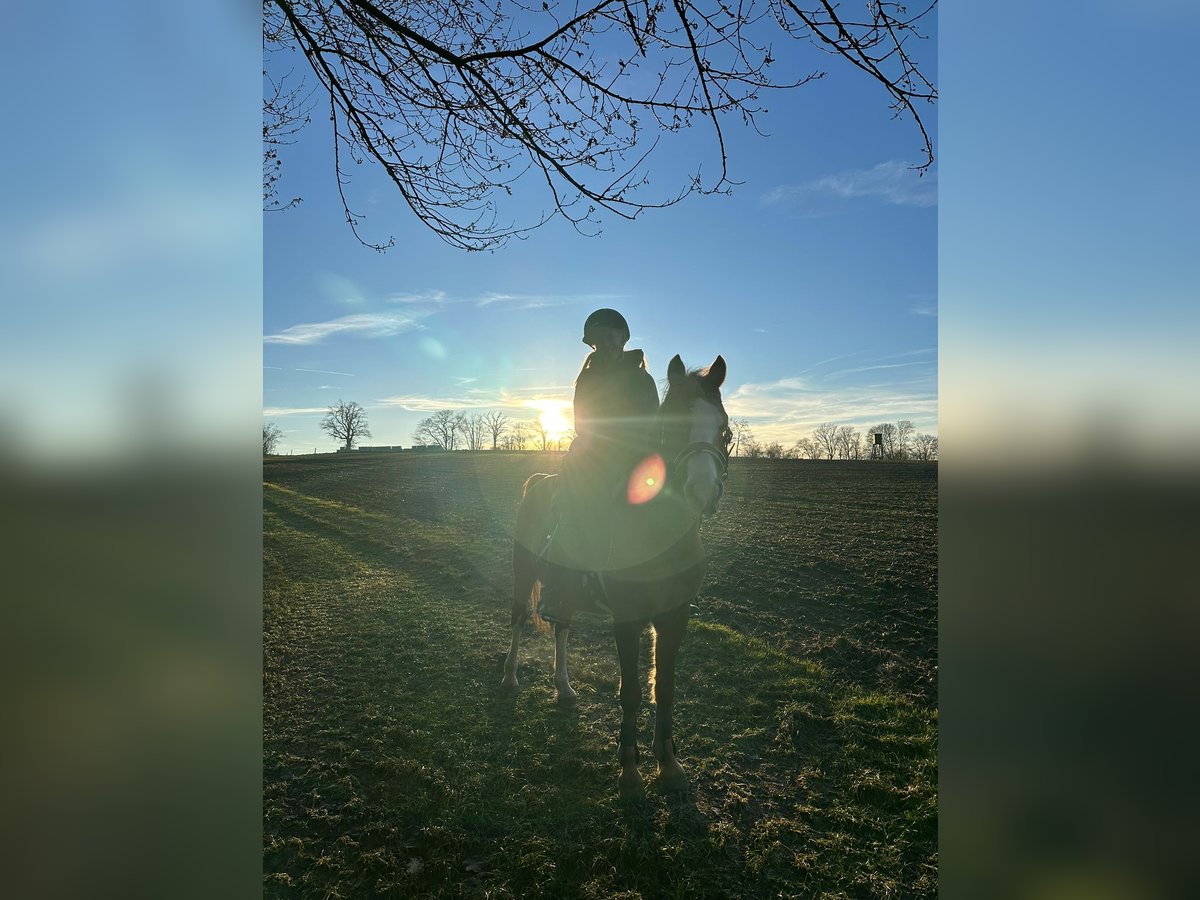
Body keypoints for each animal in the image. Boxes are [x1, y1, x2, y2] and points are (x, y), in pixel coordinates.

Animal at [499, 352, 729, 796]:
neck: (659, 535)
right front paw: (630, 768)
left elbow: (665, 687)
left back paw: (565, 688)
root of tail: (539, 481)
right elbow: (632, 692)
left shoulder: (675, 617)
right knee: (518, 619)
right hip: (524, 572)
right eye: (669, 425)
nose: (701, 492)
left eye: (724, 430)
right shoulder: (627, 618)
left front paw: (669, 762)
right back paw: (510, 679)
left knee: (562, 628)